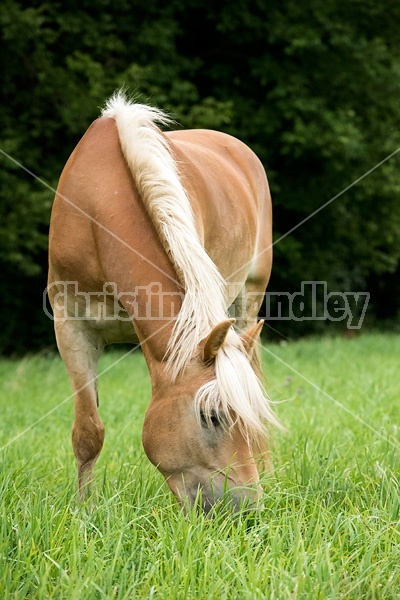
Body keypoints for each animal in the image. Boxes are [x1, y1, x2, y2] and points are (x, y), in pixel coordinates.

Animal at [47, 91, 278, 512]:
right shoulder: (70, 327)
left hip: (248, 298)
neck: (96, 211)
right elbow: (88, 432)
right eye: (211, 416)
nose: (248, 510)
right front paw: (84, 513)